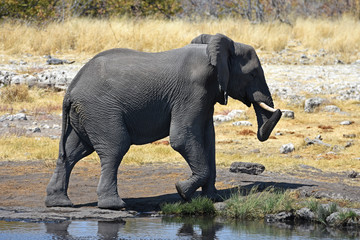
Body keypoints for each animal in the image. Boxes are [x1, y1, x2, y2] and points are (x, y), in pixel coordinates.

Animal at [45, 32, 282, 209]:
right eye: (252, 74)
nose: (277, 110)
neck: (212, 50)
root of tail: (70, 90)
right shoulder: (192, 91)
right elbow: (182, 138)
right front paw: (182, 191)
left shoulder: (206, 95)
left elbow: (209, 140)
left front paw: (212, 199)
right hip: (100, 110)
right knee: (115, 147)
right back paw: (114, 205)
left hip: (85, 114)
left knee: (72, 153)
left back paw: (59, 203)